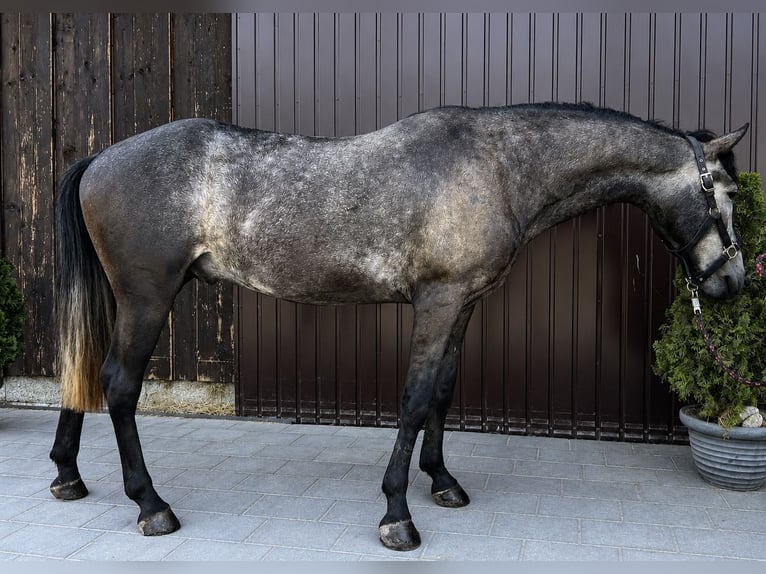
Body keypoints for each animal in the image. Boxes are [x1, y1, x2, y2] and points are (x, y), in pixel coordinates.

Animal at [49, 102, 748, 551]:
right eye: (726, 195)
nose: (733, 283)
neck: (497, 166)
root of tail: (101, 157)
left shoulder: (463, 305)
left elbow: (441, 393)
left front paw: (442, 482)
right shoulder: (435, 303)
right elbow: (412, 401)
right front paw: (396, 514)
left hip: (121, 300)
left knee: (83, 374)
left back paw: (67, 475)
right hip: (147, 299)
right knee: (118, 385)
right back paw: (151, 505)